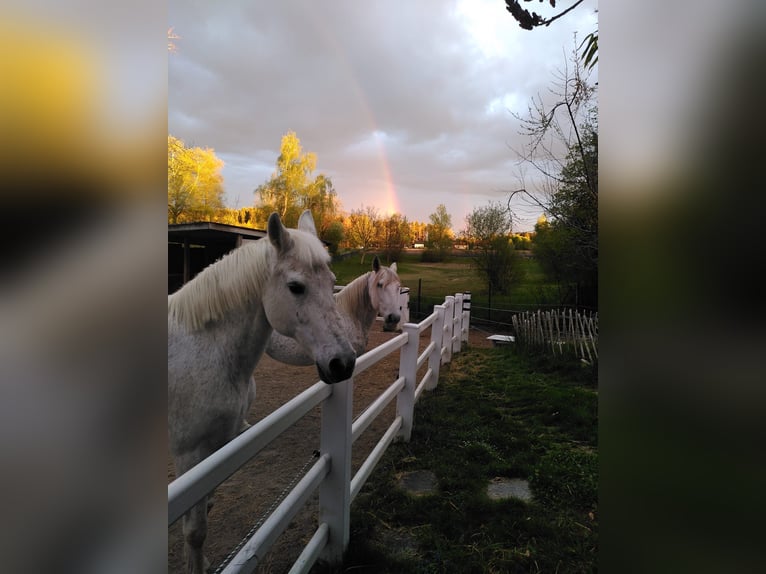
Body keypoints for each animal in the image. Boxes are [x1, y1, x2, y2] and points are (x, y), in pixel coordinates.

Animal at [168, 210, 356, 574]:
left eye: (332, 283)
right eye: (295, 287)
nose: (344, 363)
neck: (204, 346)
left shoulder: (215, 448)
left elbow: (203, 510)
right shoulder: (189, 453)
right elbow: (195, 529)